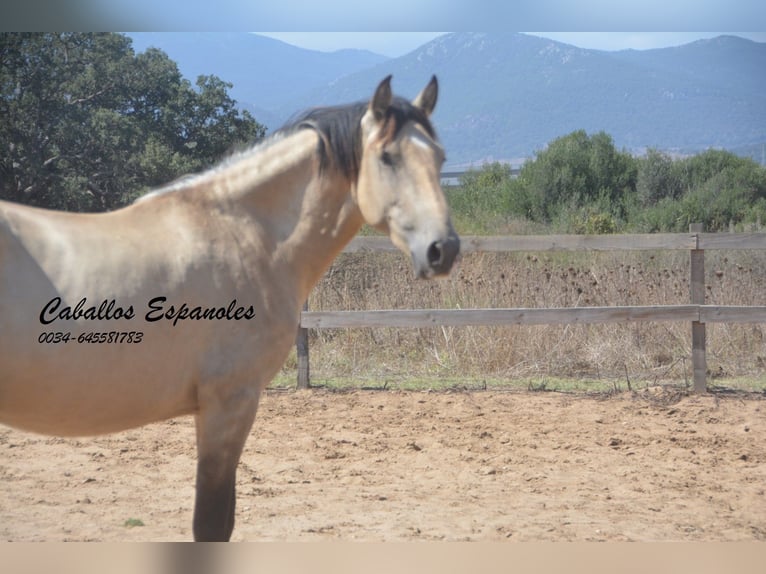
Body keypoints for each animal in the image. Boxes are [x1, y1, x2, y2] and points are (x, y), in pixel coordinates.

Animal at [0, 75, 460, 540]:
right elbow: (212, 523)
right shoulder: (230, 404)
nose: (443, 250)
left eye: (439, 157)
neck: (245, 235)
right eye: (387, 157)